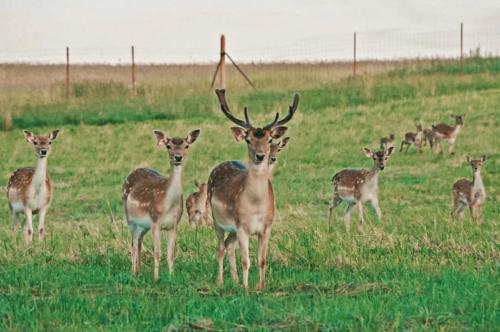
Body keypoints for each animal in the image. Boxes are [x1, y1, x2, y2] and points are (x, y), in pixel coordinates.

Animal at [122, 128, 200, 278]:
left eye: (186, 146)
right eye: (168, 146)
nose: (178, 157)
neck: (168, 205)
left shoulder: (174, 225)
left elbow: (171, 254)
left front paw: (171, 276)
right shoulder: (155, 221)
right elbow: (157, 253)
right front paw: (156, 278)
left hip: (143, 225)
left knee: (138, 241)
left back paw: (139, 270)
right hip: (130, 219)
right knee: (133, 243)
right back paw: (133, 272)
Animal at [207, 89, 296, 290]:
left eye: (270, 139)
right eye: (248, 140)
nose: (261, 155)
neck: (256, 205)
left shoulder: (267, 227)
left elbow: (262, 260)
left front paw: (260, 287)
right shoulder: (242, 227)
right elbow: (246, 261)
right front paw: (246, 288)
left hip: (232, 229)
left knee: (229, 245)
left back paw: (234, 280)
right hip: (217, 220)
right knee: (220, 247)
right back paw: (220, 281)